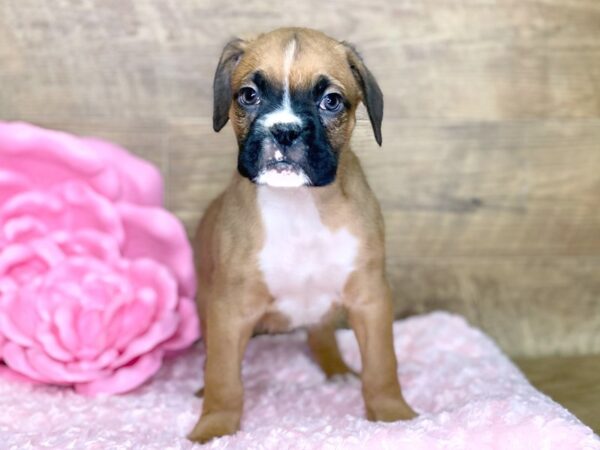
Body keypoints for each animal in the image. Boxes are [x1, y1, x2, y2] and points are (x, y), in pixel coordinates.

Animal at [190, 25, 414, 442]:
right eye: (249, 94)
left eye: (331, 101)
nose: (285, 130)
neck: (300, 204)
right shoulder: (229, 309)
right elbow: (223, 376)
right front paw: (214, 426)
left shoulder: (370, 298)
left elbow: (382, 365)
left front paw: (394, 416)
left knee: (320, 334)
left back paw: (337, 369)